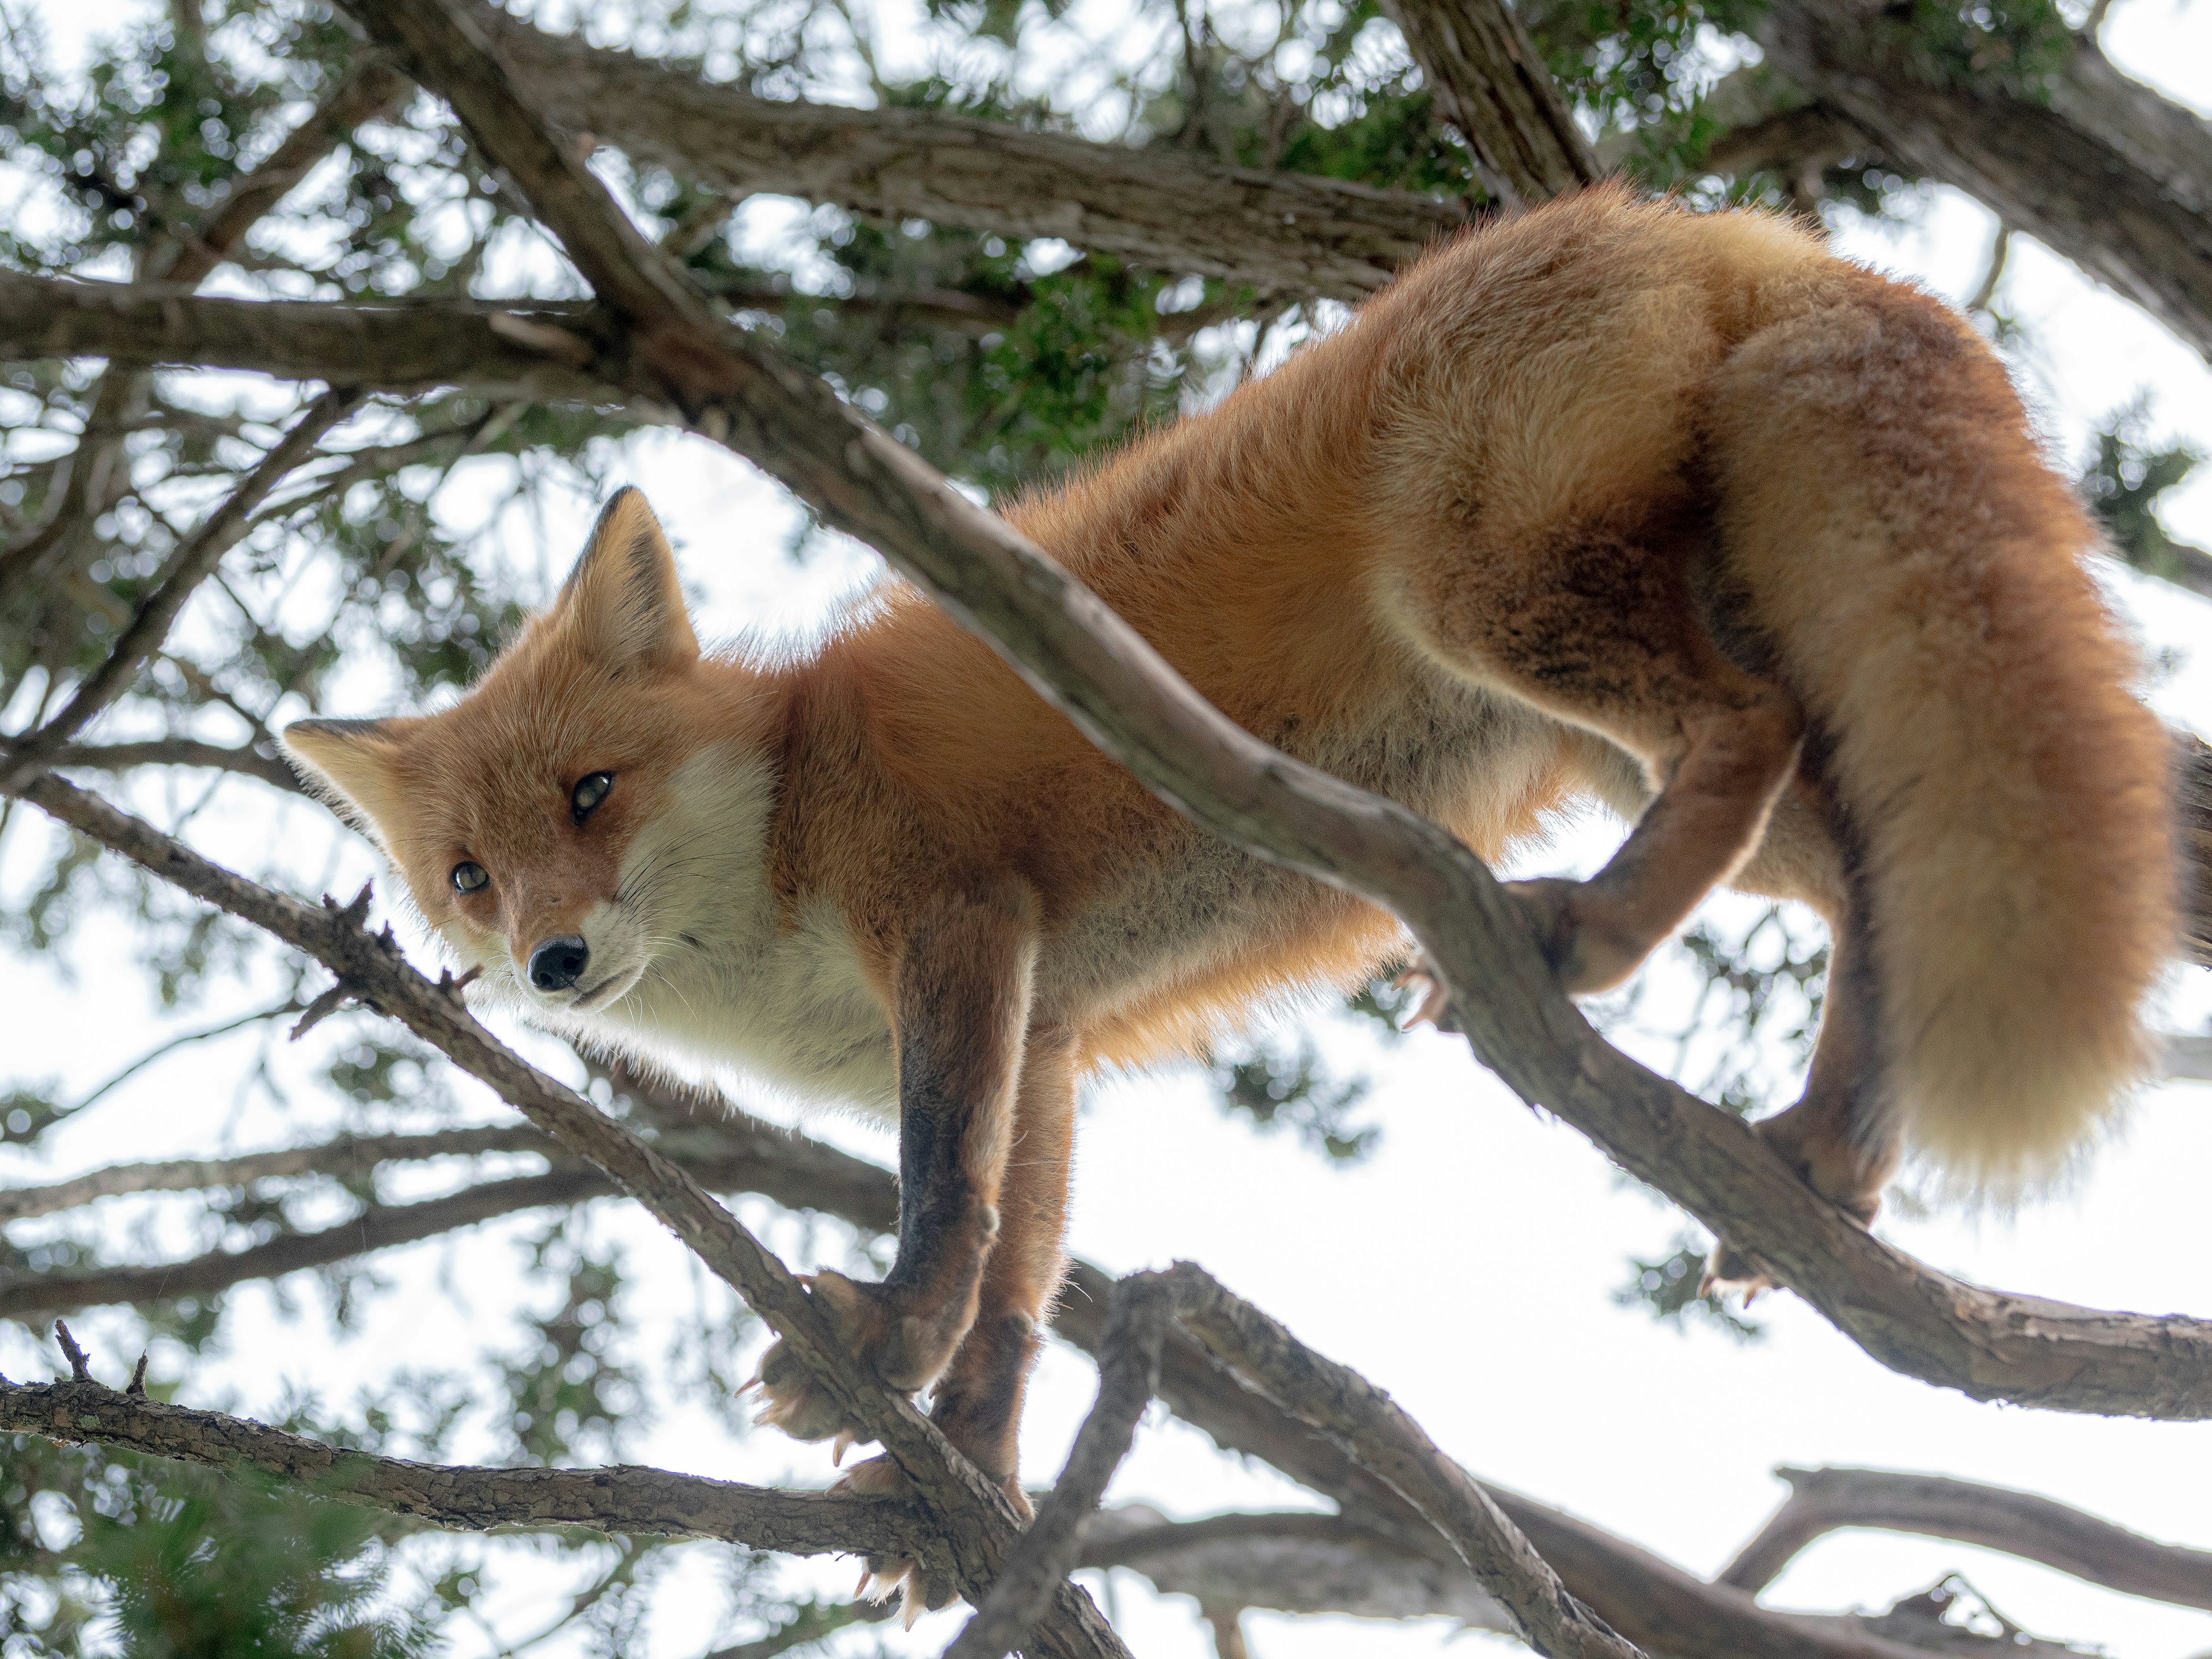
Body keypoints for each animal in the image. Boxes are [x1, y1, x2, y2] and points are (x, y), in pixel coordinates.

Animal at [285, 184, 2168, 1601]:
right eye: (466, 875)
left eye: (592, 794)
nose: (549, 959)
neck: (791, 812)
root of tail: (1699, 217)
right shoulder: (1043, 1031)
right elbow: (1025, 1286)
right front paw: (962, 1477)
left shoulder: (956, 922)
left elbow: (945, 1198)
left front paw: (875, 1352)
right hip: (1618, 700)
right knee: (1861, 868)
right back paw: (1828, 1146)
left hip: (1485, 605)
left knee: (1750, 734)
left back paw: (1587, 942)